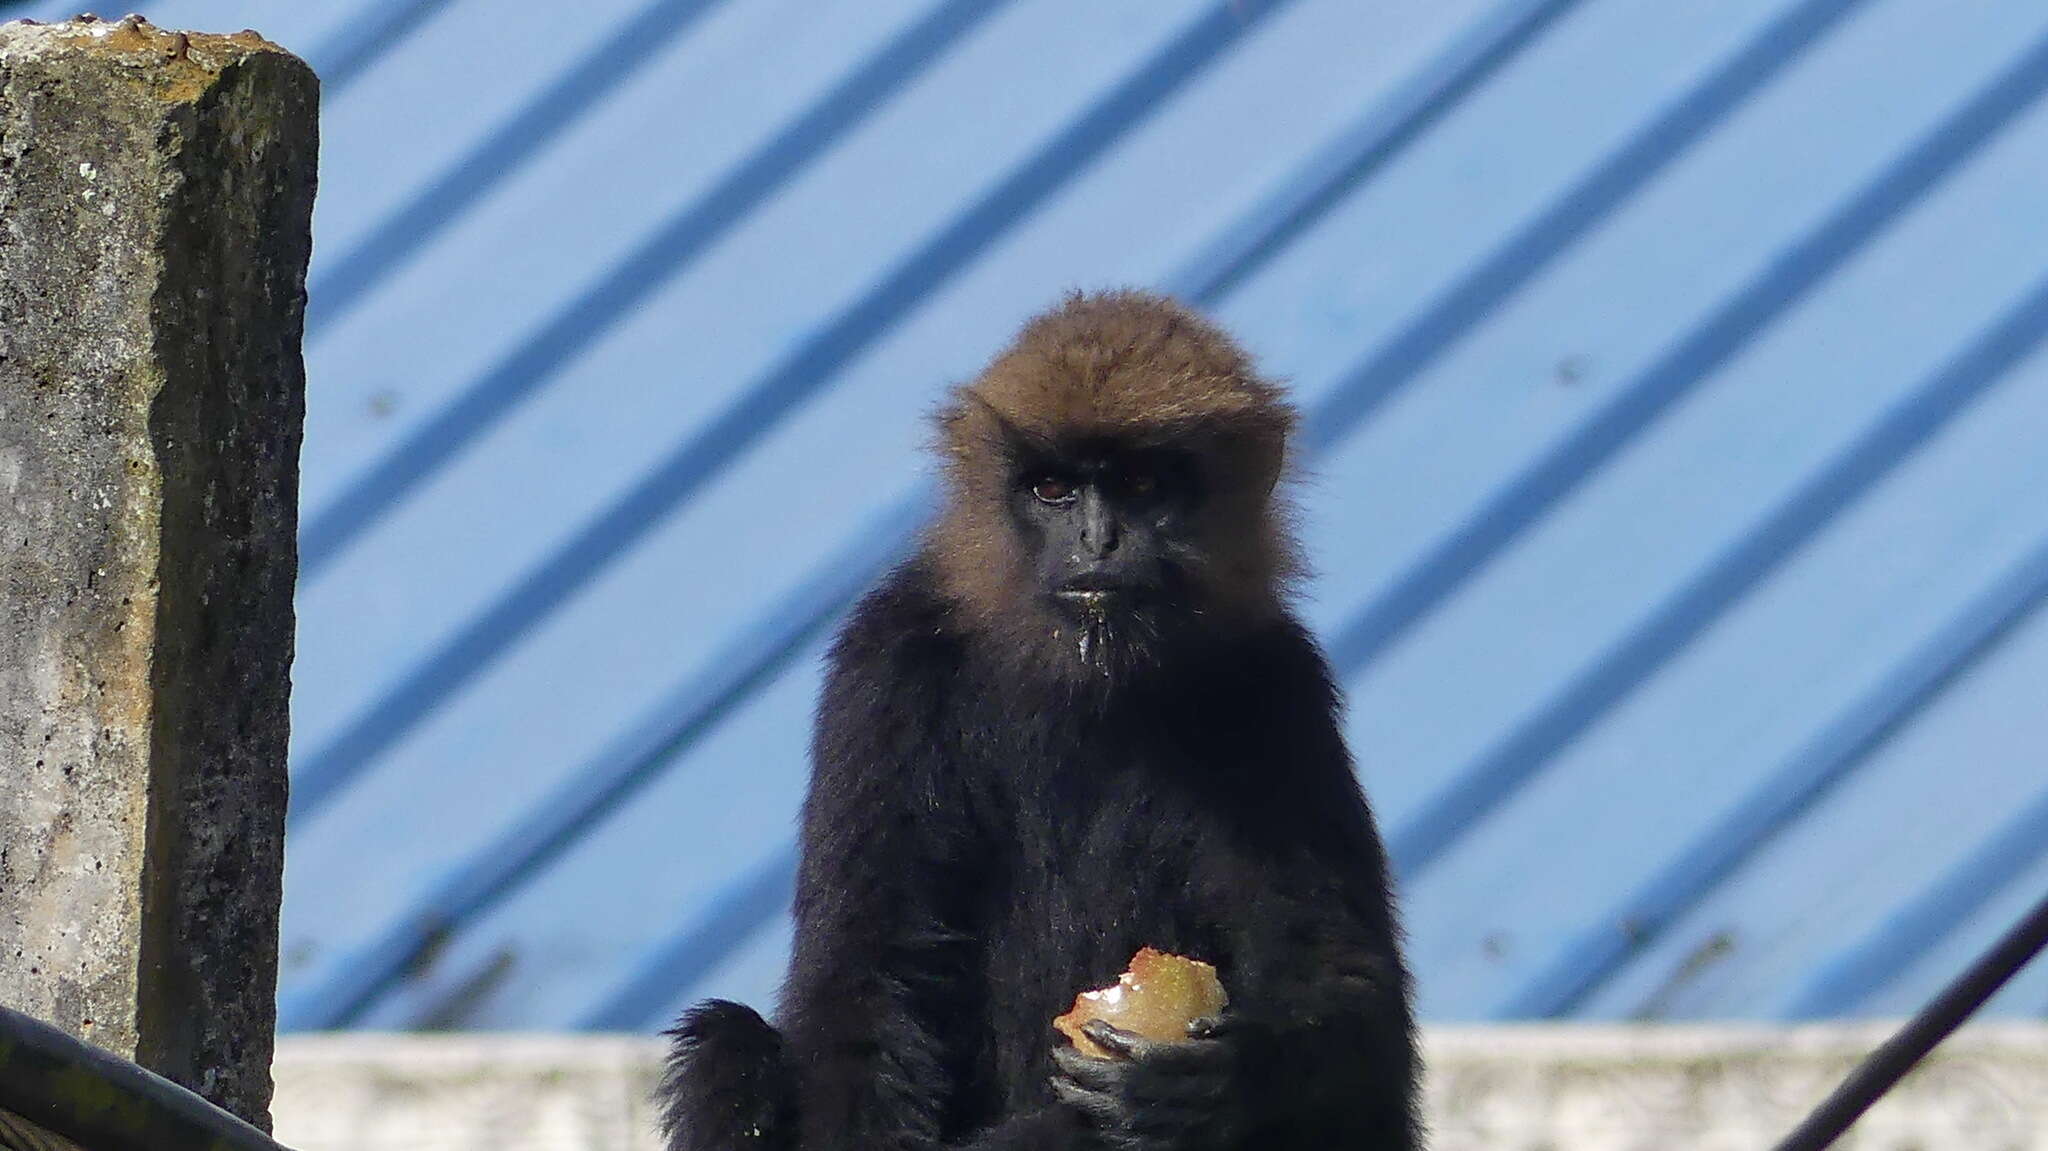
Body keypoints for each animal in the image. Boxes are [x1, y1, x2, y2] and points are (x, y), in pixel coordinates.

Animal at [663, 288, 1417, 1146]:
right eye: (1053, 491)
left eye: (1141, 484)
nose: (1096, 539)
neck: (1090, 683)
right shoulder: (885, 662)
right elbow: (869, 977)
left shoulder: (1281, 685)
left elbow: (1344, 983)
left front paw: (1220, 1084)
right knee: (726, 1040)